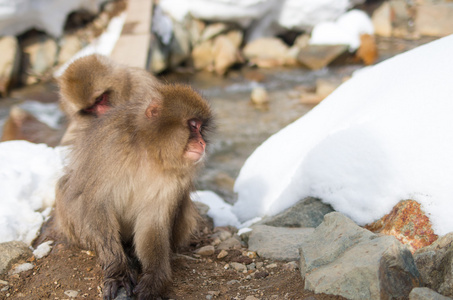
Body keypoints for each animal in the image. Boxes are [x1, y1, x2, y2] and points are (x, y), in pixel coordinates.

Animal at [55, 55, 214, 298]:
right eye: (193, 126)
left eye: (200, 128)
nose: (202, 142)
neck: (149, 150)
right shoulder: (110, 145)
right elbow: (96, 202)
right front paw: (118, 272)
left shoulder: (177, 176)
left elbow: (153, 220)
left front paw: (154, 280)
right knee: (66, 187)